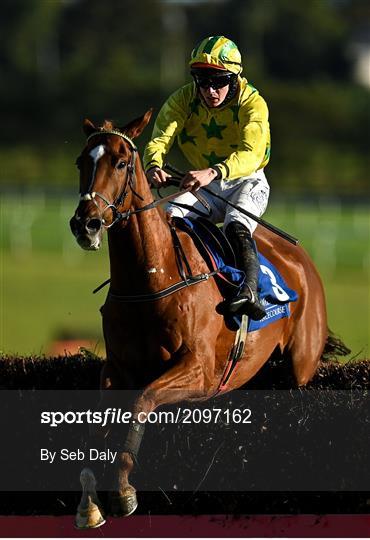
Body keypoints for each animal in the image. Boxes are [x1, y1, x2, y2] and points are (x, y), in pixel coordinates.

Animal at [71, 108, 328, 528]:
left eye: (121, 162)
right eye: (82, 161)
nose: (85, 224)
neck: (153, 276)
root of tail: (303, 262)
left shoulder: (199, 371)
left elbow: (142, 402)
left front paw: (124, 492)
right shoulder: (116, 368)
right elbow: (98, 427)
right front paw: (91, 502)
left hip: (300, 368)